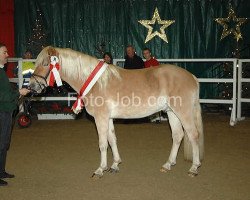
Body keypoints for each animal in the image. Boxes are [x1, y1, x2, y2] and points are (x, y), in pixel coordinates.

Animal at [28, 46, 203, 178]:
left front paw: (100, 169)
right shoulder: (108, 118)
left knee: (193, 135)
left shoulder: (101, 118)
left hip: (183, 112)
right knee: (178, 135)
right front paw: (115, 165)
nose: (32, 86)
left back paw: (194, 168)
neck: (97, 83)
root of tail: (192, 77)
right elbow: (112, 140)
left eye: (46, 62)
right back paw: (168, 164)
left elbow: (102, 143)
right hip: (171, 112)